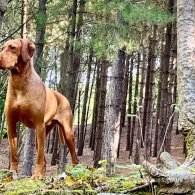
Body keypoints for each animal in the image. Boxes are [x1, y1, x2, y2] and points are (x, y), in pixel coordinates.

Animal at [0, 38, 78, 180]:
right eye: (2, 48)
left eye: (12, 47)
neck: (20, 83)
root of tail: (63, 98)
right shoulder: (11, 124)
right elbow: (14, 154)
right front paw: (11, 175)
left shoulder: (38, 123)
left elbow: (39, 157)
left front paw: (35, 175)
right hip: (41, 134)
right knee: (44, 160)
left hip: (66, 132)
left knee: (74, 158)